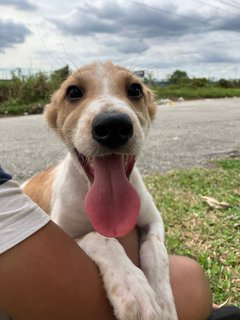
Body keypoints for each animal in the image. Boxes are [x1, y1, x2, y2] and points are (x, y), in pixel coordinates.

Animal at [23, 61, 178, 318]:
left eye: (135, 89)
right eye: (73, 92)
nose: (113, 125)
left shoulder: (153, 220)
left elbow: (156, 251)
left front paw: (163, 302)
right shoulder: (61, 235)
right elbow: (100, 237)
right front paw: (134, 289)